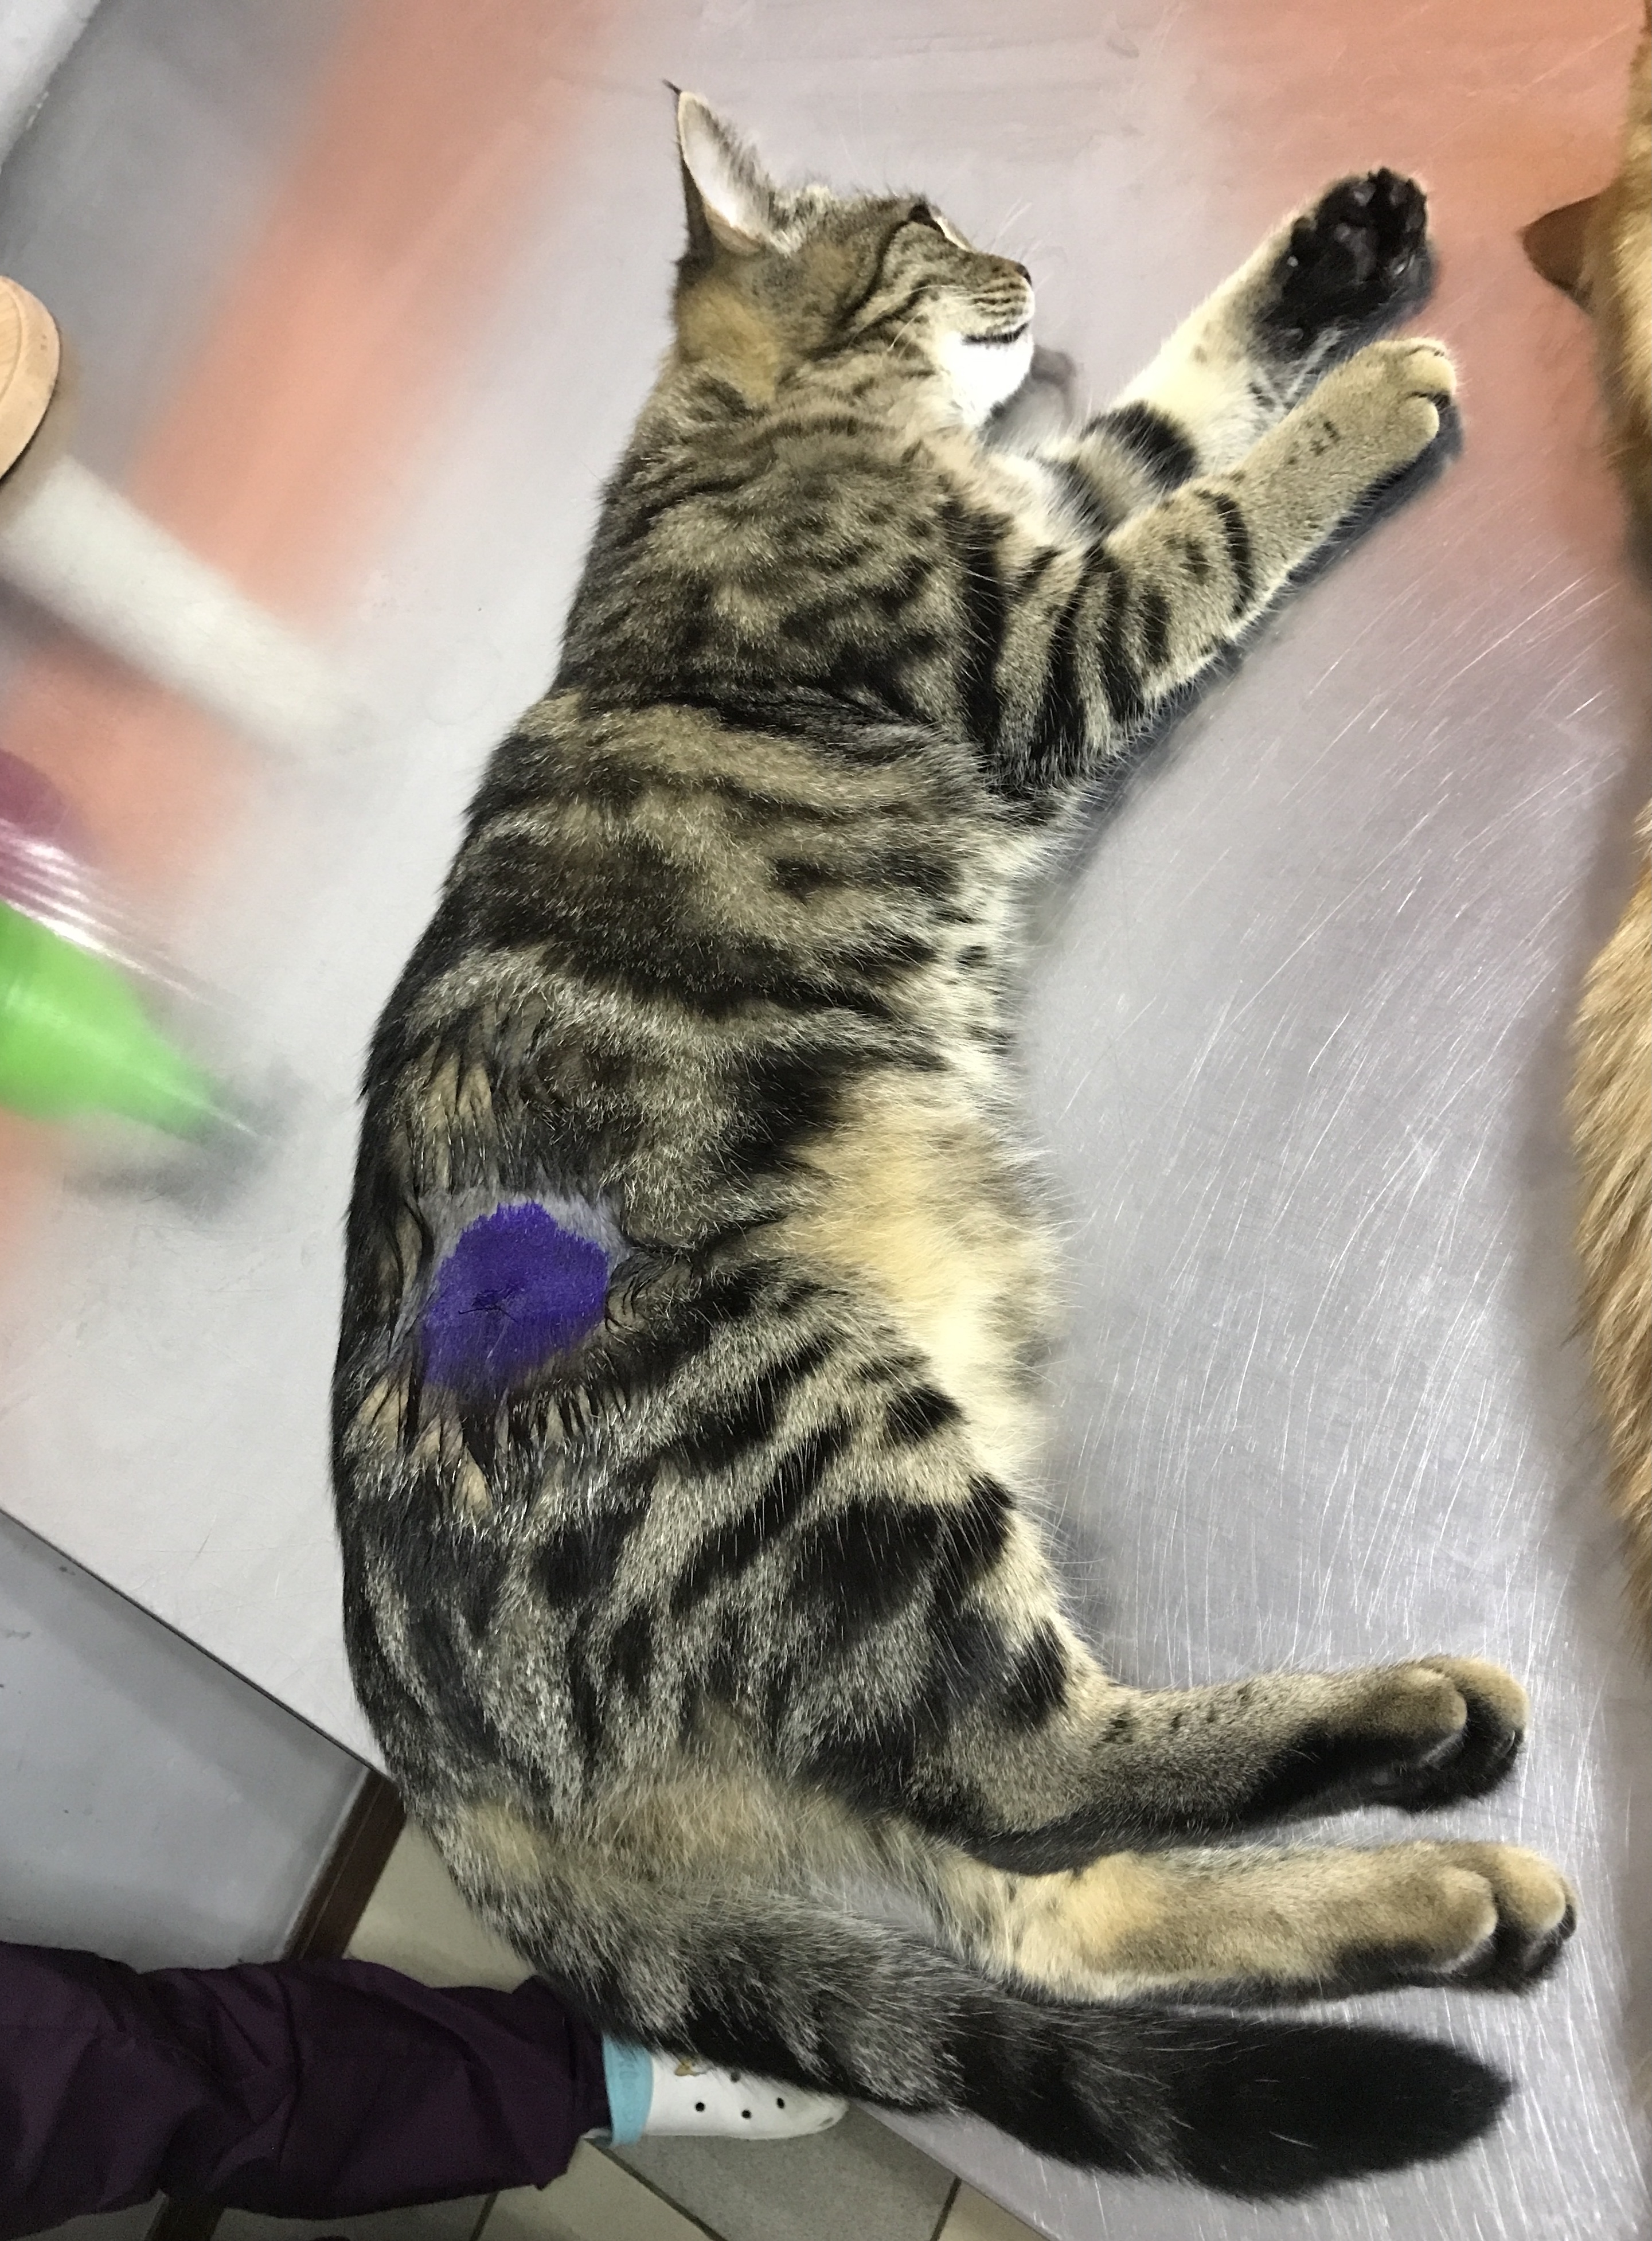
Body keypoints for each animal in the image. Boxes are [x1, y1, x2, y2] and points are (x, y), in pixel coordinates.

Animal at [333, 97, 1575, 2201]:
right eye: (929, 223)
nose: (1020, 268)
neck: (765, 421)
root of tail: (433, 1756)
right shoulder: (1044, 634)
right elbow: (1217, 510)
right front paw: (1372, 390)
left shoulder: (1052, 517)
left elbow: (1171, 413)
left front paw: (1333, 259)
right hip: (823, 1435)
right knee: (1032, 1776)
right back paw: (1420, 1733)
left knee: (1052, 1901)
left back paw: (1439, 1896)